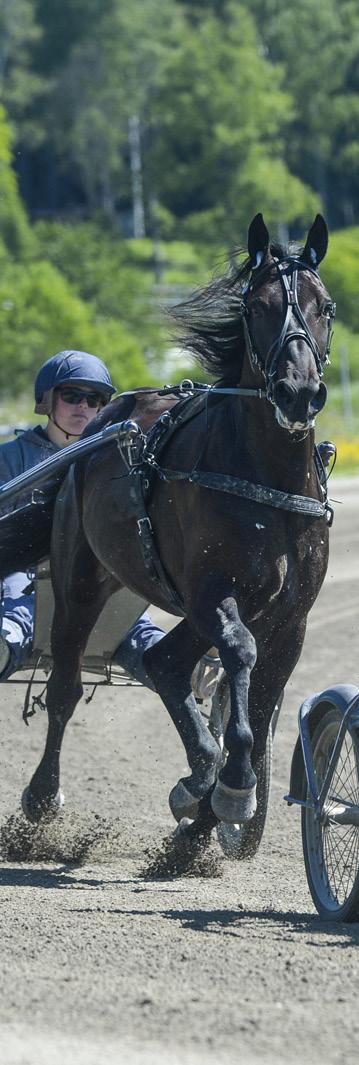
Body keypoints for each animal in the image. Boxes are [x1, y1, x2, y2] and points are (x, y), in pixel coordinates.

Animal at [21, 214, 336, 830]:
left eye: (326, 306)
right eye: (256, 306)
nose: (299, 391)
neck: (270, 479)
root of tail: (100, 428)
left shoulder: (291, 616)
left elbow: (262, 697)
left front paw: (217, 803)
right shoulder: (214, 593)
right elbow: (240, 653)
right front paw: (233, 783)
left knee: (164, 663)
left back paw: (199, 776)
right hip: (79, 577)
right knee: (66, 684)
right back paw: (44, 793)